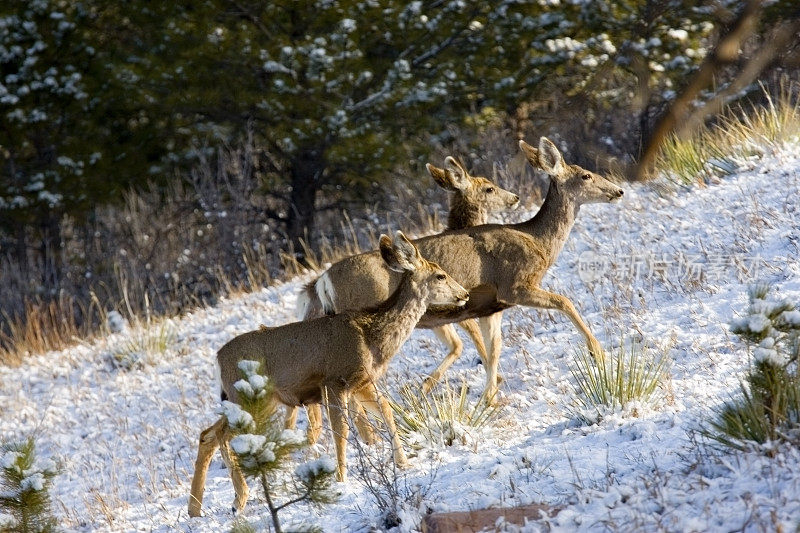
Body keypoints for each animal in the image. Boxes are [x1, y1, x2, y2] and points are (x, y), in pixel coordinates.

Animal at [188, 230, 468, 516]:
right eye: (441, 275)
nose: (465, 293)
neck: (372, 337)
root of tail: (218, 359)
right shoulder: (335, 380)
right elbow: (340, 430)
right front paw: (342, 479)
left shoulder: (362, 382)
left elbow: (386, 410)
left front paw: (402, 462)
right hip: (250, 397)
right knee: (223, 436)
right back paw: (238, 499)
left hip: (249, 400)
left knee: (208, 434)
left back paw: (196, 509)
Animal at [296, 137, 624, 404]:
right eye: (586, 175)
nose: (619, 190)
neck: (537, 242)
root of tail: (322, 282)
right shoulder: (514, 286)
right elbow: (564, 301)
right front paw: (597, 351)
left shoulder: (492, 306)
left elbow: (494, 348)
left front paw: (489, 396)